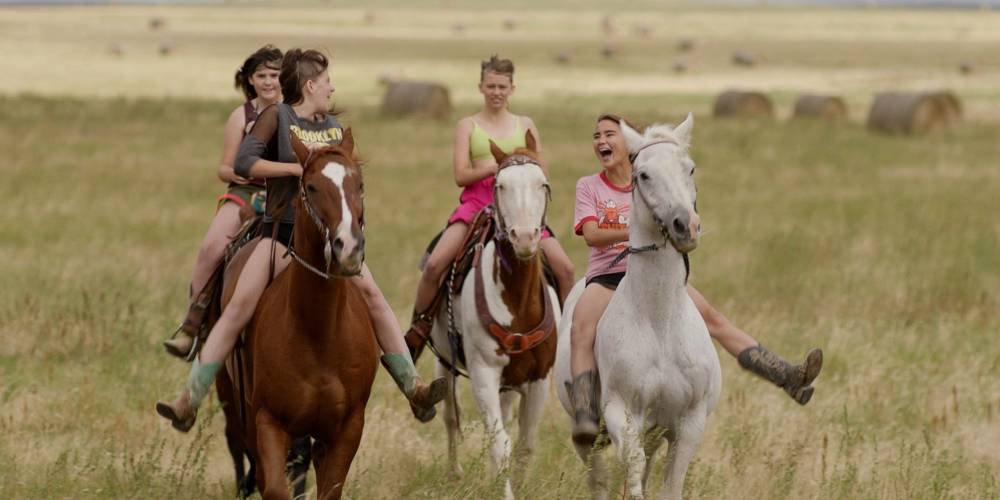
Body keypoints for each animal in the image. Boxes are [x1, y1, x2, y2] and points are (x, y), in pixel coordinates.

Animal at [220, 128, 378, 500]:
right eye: (312, 187)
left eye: (359, 184)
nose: (349, 248)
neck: (318, 332)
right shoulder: (268, 421)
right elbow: (276, 488)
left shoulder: (347, 428)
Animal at [427, 132, 559, 499]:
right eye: (500, 185)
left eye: (543, 184)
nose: (525, 237)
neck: (518, 303)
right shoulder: (484, 374)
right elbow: (501, 444)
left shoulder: (539, 379)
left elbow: (525, 444)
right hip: (445, 362)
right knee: (451, 416)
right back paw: (455, 472)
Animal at [555, 114, 721, 500]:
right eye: (643, 174)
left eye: (690, 168)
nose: (685, 226)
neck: (660, 322)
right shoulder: (623, 414)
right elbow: (632, 476)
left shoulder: (688, 423)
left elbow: (670, 485)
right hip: (588, 433)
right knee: (598, 478)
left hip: (656, 432)